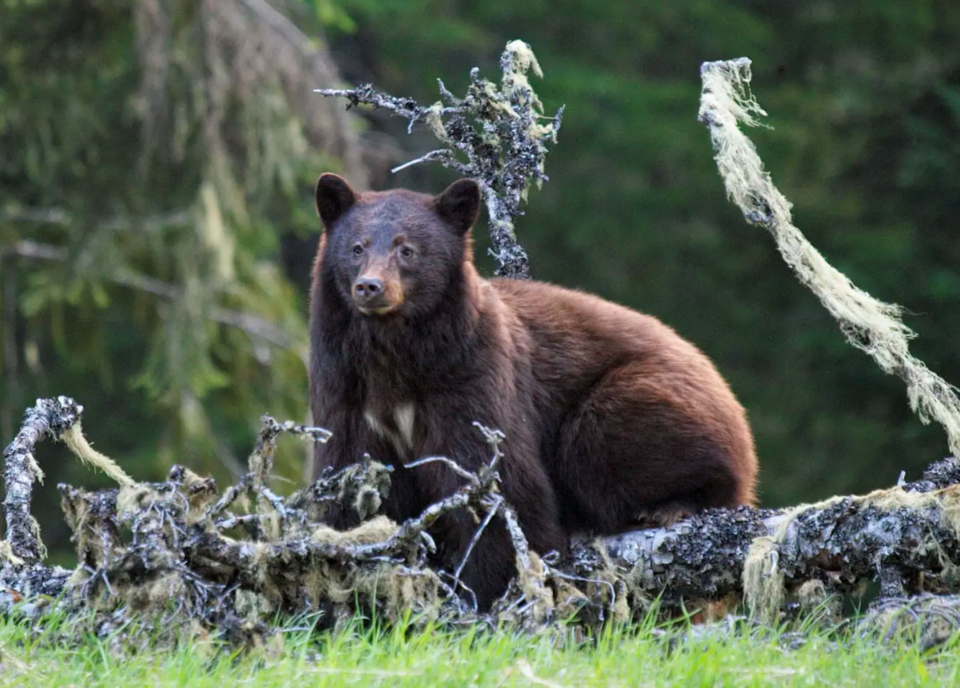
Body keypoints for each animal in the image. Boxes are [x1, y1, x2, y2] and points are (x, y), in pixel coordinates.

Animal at [308, 175, 756, 612]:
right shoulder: (344, 387)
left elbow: (500, 482)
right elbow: (346, 479)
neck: (393, 358)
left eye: (407, 250)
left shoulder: (473, 373)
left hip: (639, 397)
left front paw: (495, 595)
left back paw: (668, 505)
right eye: (356, 247)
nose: (370, 286)